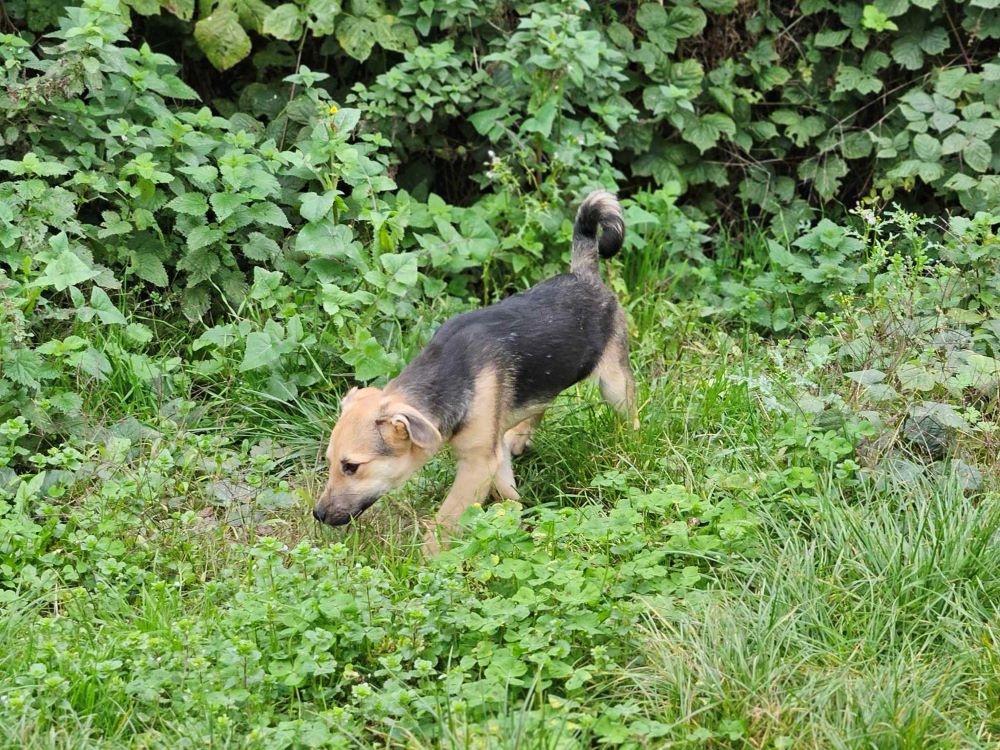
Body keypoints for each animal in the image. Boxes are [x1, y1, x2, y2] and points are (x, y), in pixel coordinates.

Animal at [314, 191, 640, 556]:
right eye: (330, 461)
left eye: (351, 467)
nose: (318, 514)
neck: (449, 378)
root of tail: (585, 273)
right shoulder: (490, 457)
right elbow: (507, 493)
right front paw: (520, 521)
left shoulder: (477, 463)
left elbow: (445, 519)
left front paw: (427, 558)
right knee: (540, 403)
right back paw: (520, 435)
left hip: (613, 382)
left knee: (630, 413)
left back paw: (631, 446)